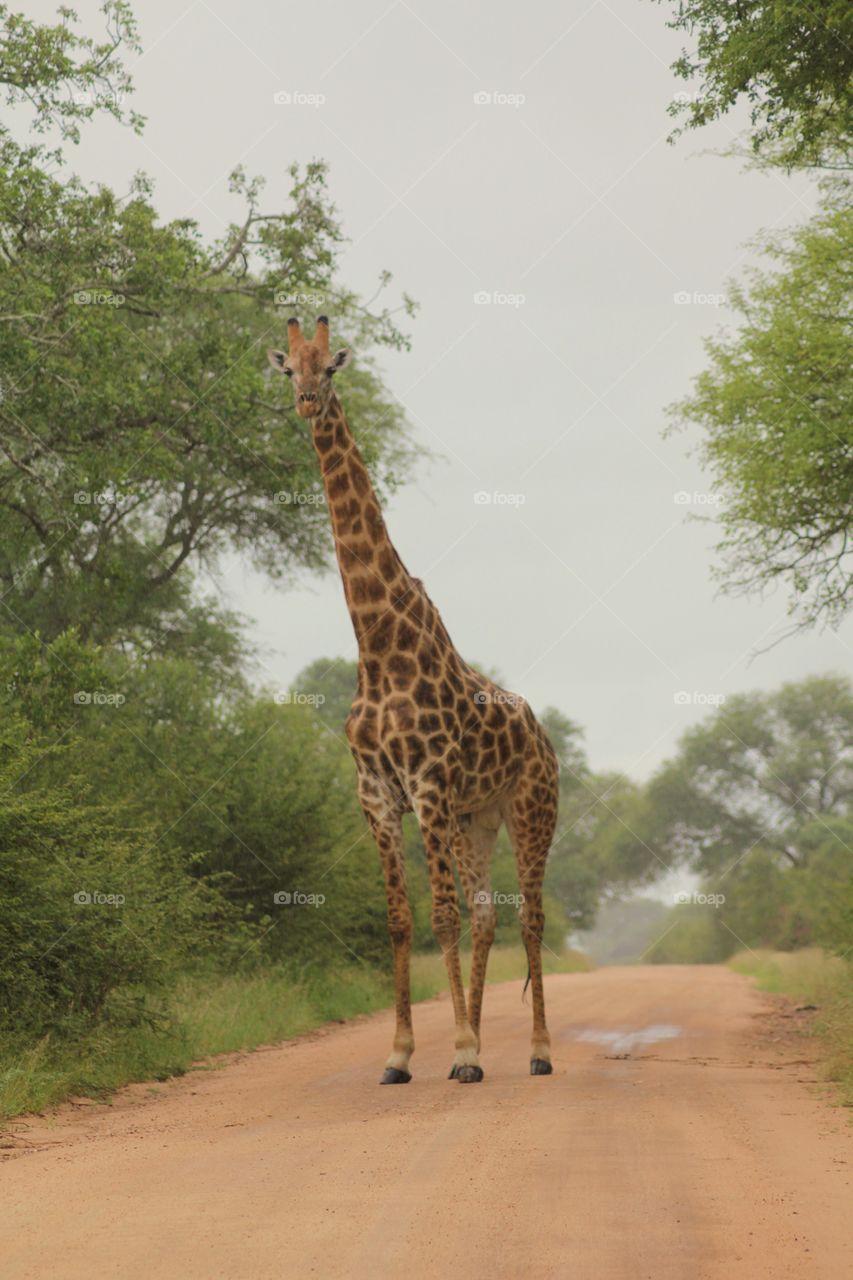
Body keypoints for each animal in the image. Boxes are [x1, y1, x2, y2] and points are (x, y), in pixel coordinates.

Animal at [268, 316, 560, 1084]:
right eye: (287, 369)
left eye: (330, 368)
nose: (306, 402)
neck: (375, 638)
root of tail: (545, 735)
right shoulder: (376, 793)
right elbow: (402, 921)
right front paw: (402, 1055)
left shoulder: (426, 783)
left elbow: (441, 918)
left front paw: (457, 1051)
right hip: (474, 819)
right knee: (489, 914)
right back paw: (482, 1038)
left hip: (529, 809)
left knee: (530, 917)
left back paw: (535, 1052)